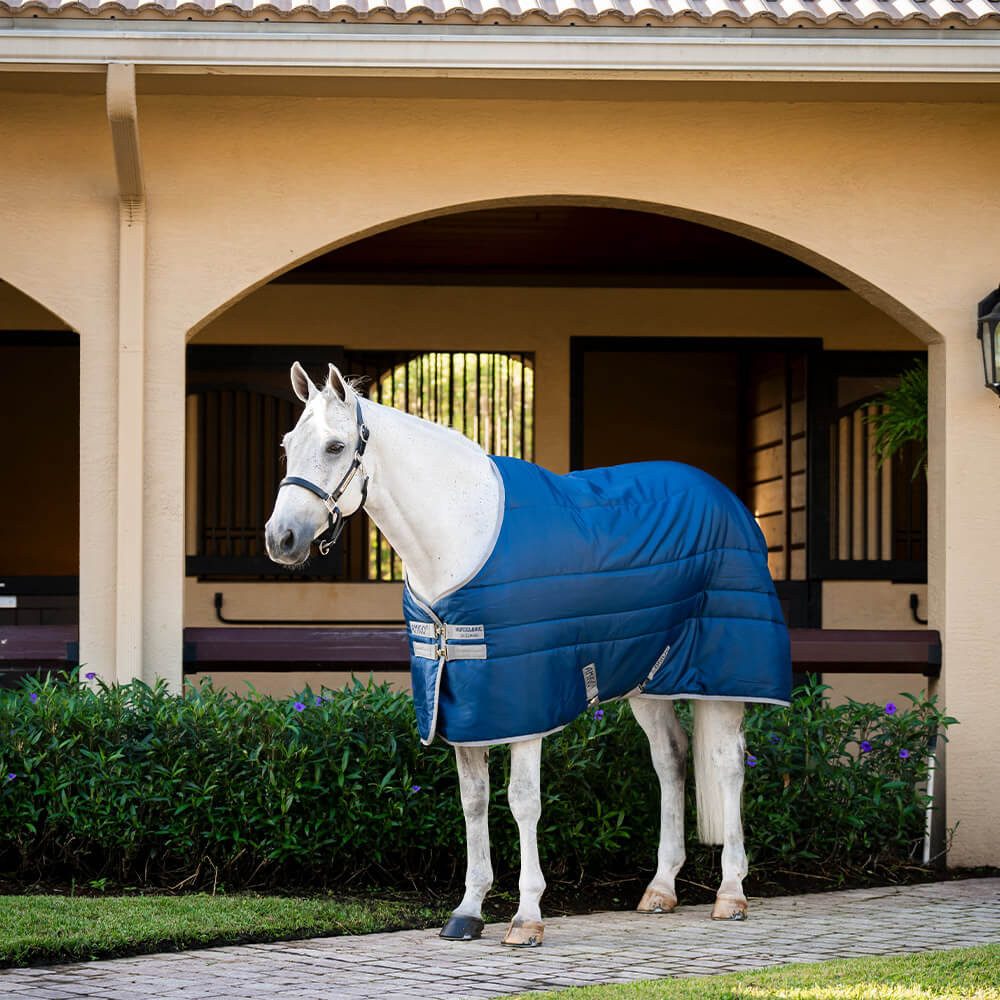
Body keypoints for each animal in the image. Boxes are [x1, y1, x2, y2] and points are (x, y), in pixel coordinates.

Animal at [265, 361, 791, 947]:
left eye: (335, 446)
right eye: (288, 445)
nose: (280, 538)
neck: (462, 534)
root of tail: (729, 500)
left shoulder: (525, 704)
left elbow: (522, 800)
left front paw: (526, 917)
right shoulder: (461, 701)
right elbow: (473, 800)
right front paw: (467, 911)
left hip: (722, 676)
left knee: (727, 764)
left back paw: (731, 893)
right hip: (648, 678)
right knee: (671, 759)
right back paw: (660, 889)